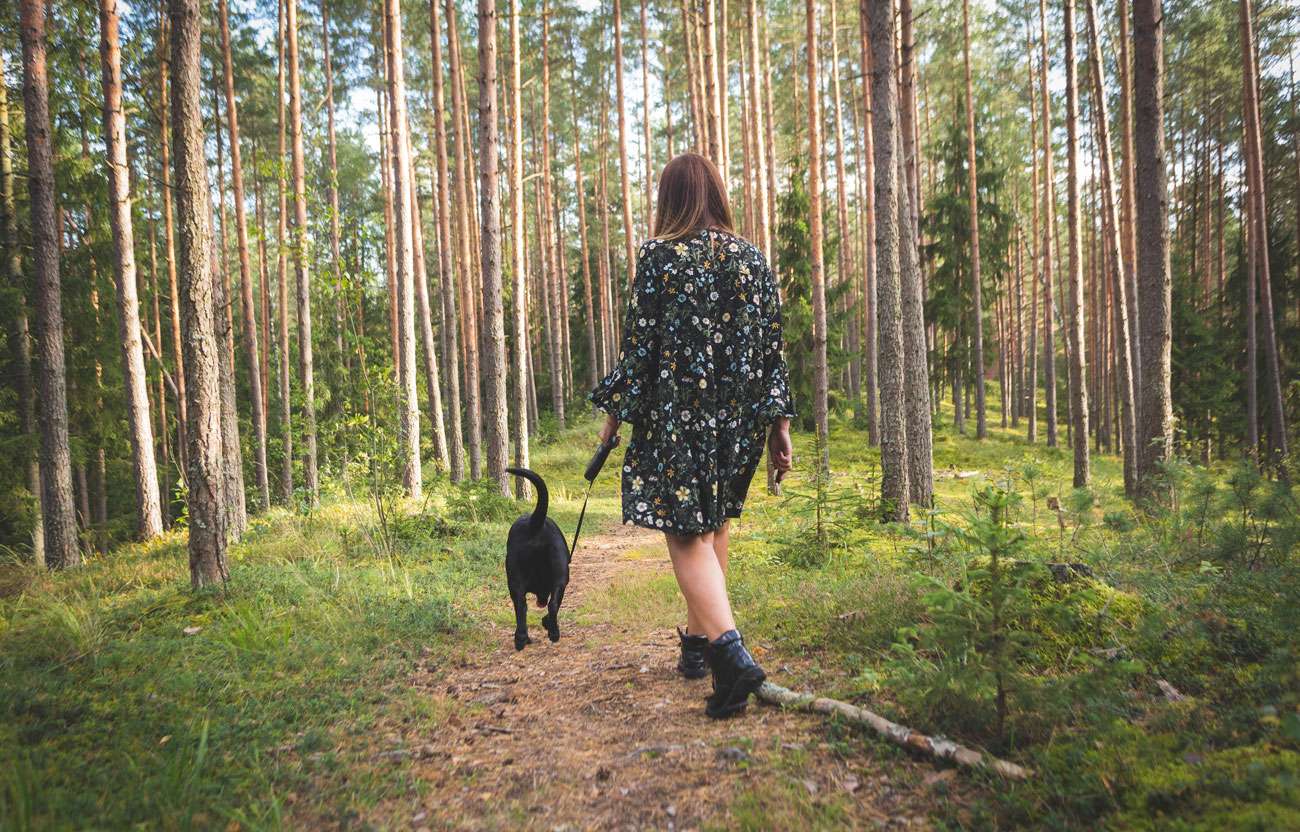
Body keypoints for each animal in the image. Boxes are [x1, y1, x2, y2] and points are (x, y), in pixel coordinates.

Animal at [504, 468, 570, 651]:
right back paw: (552, 632)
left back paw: (522, 639)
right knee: (551, 605)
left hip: (517, 582)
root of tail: (534, 524)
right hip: (560, 578)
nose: (540, 601)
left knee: (522, 607)